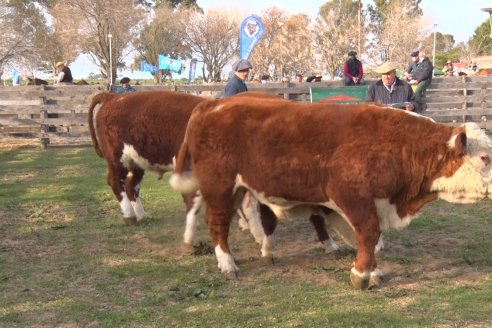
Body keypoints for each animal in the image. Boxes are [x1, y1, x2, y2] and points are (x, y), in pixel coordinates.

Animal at [170, 97, 492, 290]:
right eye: (484, 158)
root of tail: (213, 104)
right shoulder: (352, 197)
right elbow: (369, 234)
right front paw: (361, 275)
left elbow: (368, 239)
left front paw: (372, 271)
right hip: (219, 187)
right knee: (217, 225)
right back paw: (227, 264)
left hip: (242, 187)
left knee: (261, 219)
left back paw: (267, 251)